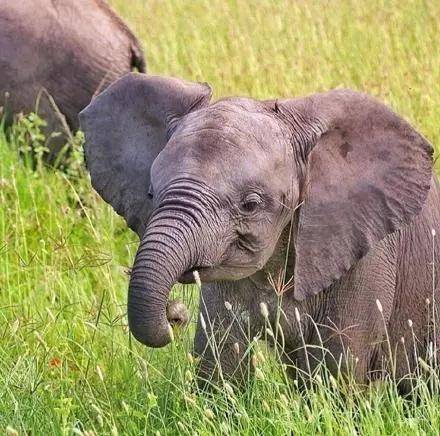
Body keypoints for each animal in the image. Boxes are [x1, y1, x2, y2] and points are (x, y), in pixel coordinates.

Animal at [79, 72, 440, 392]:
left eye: (250, 204)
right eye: (151, 194)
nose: (175, 313)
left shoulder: (367, 258)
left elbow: (336, 372)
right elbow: (220, 365)